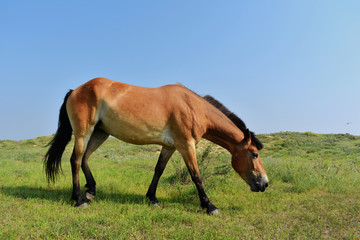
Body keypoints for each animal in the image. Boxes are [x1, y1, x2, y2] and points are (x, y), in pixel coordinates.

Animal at [43, 77, 268, 214]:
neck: (193, 107)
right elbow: (196, 175)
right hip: (84, 132)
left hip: (100, 133)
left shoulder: (170, 146)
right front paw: (209, 205)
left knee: (85, 159)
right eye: (254, 154)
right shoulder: (186, 145)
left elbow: (158, 170)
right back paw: (79, 199)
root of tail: (76, 90)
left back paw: (91, 190)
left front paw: (152, 198)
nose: (264, 183)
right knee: (75, 160)